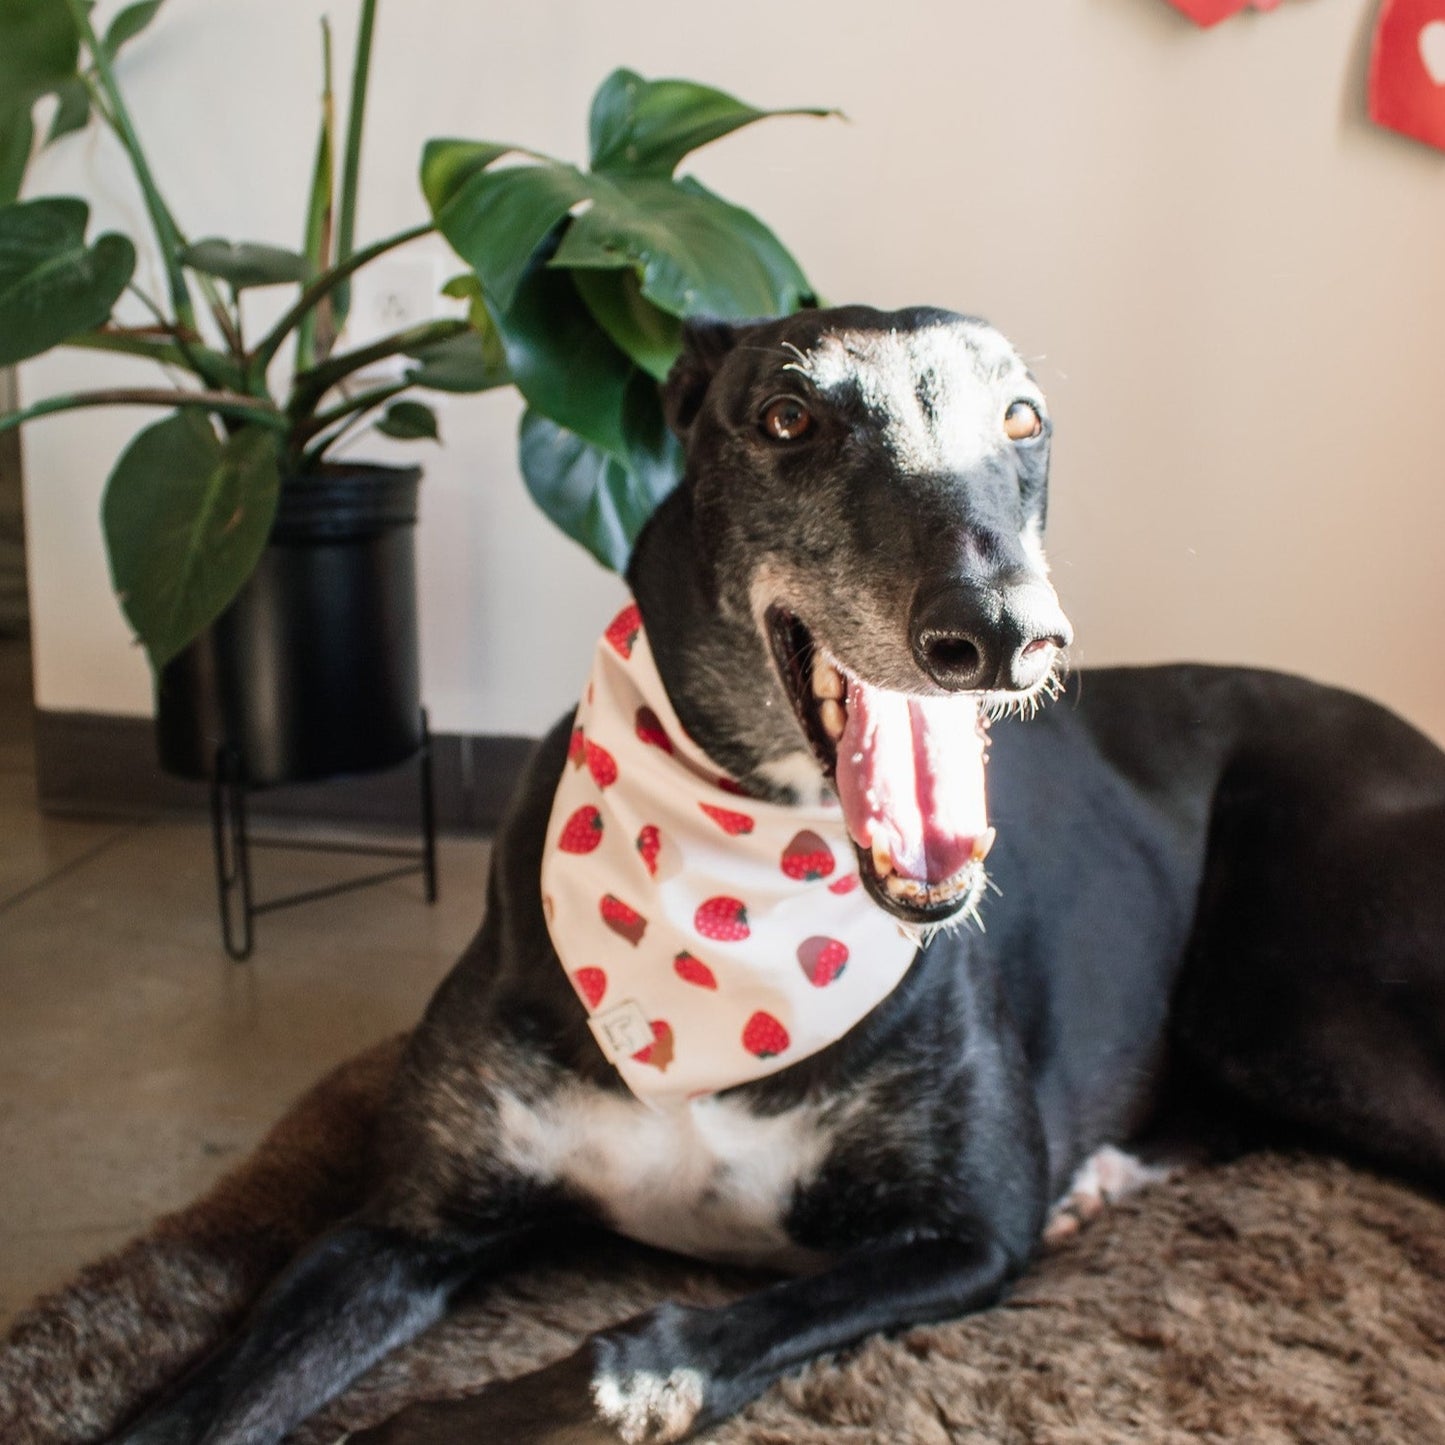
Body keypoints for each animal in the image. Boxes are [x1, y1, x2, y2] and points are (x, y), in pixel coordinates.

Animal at [115, 307, 1445, 1445]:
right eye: (789, 419)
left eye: (1020, 418)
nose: (1003, 630)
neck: (734, 920)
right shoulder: (403, 1224)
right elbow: (209, 1392)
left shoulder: (969, 1232)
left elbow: (644, 1351)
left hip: (1280, 993)